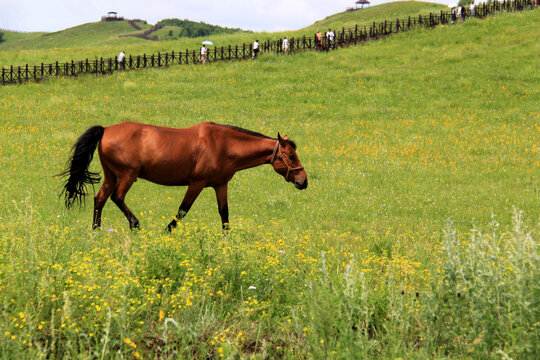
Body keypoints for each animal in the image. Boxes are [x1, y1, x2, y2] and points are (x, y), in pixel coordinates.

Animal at [59, 121, 308, 231]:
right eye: (291, 155)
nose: (303, 181)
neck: (224, 145)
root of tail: (106, 130)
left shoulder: (220, 185)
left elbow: (224, 215)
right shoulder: (196, 184)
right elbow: (182, 211)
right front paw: (166, 231)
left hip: (111, 176)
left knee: (100, 199)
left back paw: (96, 230)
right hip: (126, 175)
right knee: (117, 198)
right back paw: (134, 223)